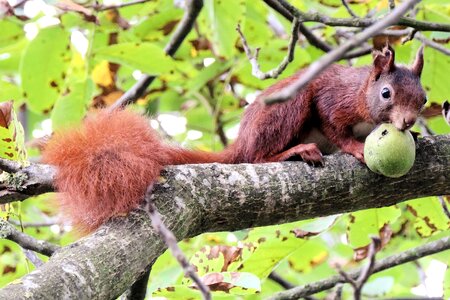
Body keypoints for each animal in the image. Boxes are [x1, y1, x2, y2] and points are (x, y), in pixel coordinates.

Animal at [41, 45, 426, 232]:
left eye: (423, 98)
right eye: (387, 93)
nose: (407, 121)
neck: (363, 95)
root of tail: (242, 140)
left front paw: (417, 134)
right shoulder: (334, 100)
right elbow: (334, 126)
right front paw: (355, 148)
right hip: (285, 110)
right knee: (256, 157)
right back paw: (294, 151)